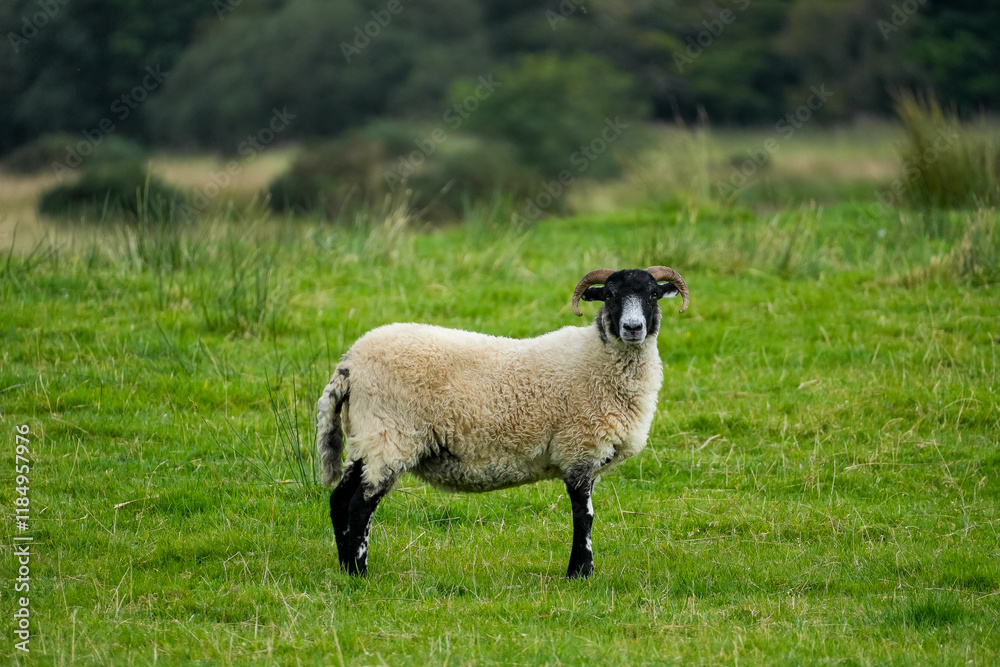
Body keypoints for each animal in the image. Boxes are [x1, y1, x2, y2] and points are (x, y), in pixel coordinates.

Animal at [316, 266, 689, 578]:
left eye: (653, 294)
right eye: (610, 295)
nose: (633, 328)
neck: (598, 358)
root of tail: (349, 364)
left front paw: (580, 570)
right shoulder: (579, 449)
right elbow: (584, 516)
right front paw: (580, 572)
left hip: (366, 437)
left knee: (339, 500)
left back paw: (345, 569)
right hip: (389, 434)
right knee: (360, 505)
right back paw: (360, 571)